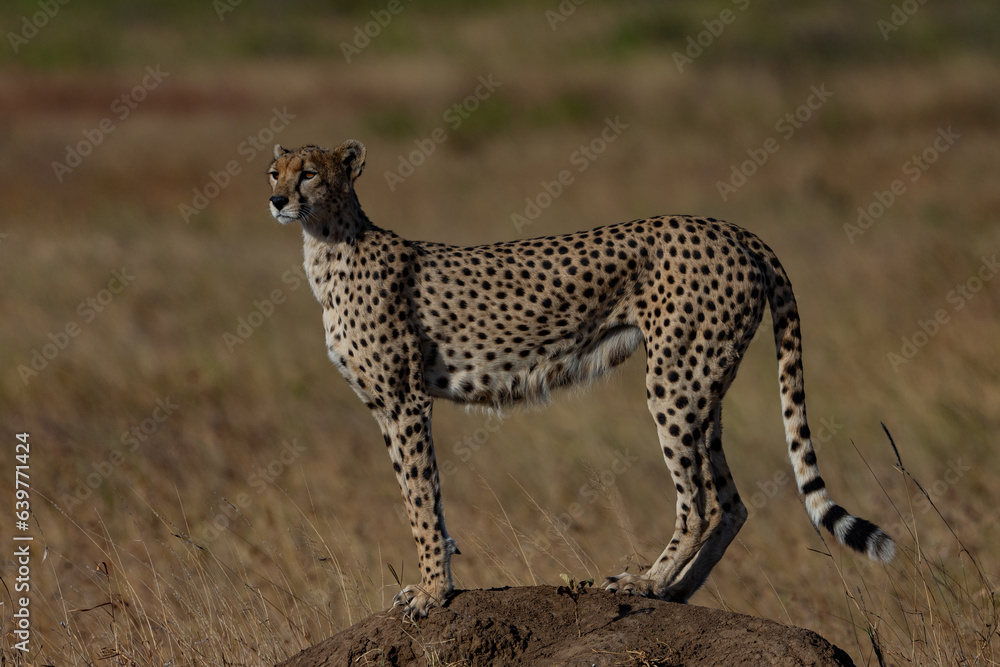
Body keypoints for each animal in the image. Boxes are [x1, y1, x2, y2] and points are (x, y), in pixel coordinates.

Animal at [270, 140, 896, 620]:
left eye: (310, 172)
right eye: (274, 170)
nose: (276, 199)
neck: (328, 244)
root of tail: (729, 227)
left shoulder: (405, 402)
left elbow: (421, 499)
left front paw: (431, 592)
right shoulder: (385, 406)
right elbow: (420, 495)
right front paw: (435, 581)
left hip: (674, 382)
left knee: (696, 501)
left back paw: (645, 582)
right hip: (703, 382)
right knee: (731, 503)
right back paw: (677, 591)